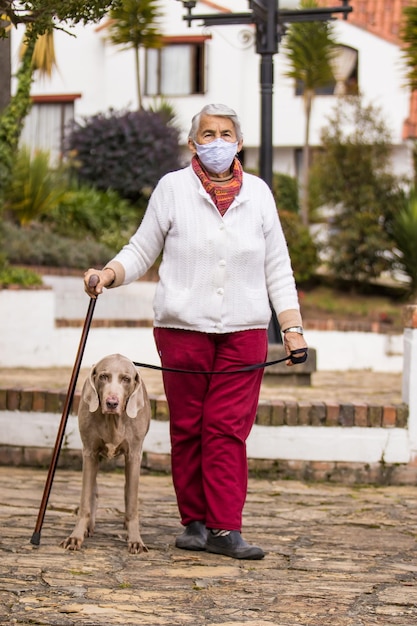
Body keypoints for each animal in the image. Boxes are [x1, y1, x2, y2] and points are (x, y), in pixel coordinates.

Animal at [60, 354, 151, 552]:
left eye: (126, 379)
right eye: (103, 376)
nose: (111, 403)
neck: (112, 421)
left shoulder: (134, 455)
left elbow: (132, 501)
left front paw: (135, 539)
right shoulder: (89, 453)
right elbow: (86, 499)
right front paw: (75, 536)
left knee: (127, 491)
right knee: (93, 491)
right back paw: (89, 526)